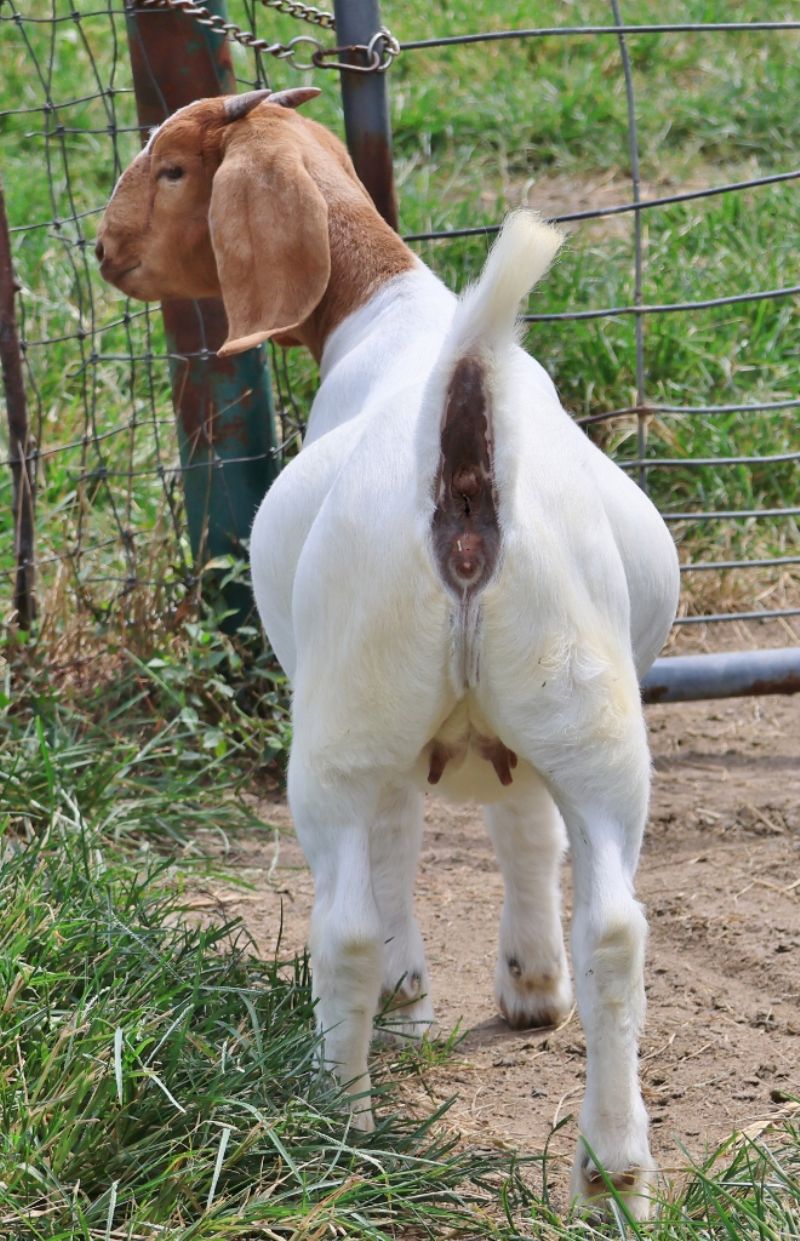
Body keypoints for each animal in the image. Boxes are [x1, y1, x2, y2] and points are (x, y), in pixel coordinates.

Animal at [97, 88, 680, 1219]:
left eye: (174, 168)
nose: (103, 251)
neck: (395, 316)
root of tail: (459, 434)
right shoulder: (523, 745)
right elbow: (524, 832)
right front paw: (530, 983)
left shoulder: (387, 743)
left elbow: (400, 848)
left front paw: (413, 1002)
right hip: (587, 712)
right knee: (617, 931)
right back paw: (615, 1173)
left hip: (345, 724)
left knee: (347, 923)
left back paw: (335, 1122)